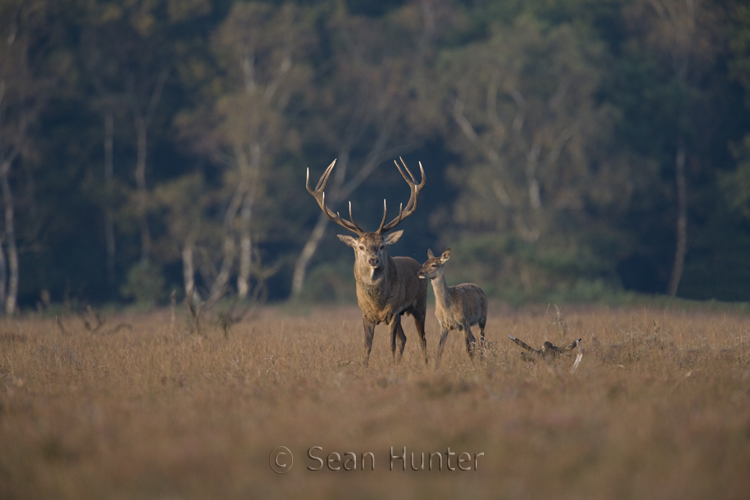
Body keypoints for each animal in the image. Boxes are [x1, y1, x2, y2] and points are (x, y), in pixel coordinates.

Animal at [306, 157, 428, 367]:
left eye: (382, 246)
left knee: (422, 339)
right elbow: (367, 346)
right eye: (361, 246)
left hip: (420, 305)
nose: (373, 260)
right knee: (404, 338)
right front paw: (365, 367)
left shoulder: (393, 311)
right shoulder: (365, 314)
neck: (377, 303)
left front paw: (392, 367)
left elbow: (391, 345)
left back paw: (428, 364)